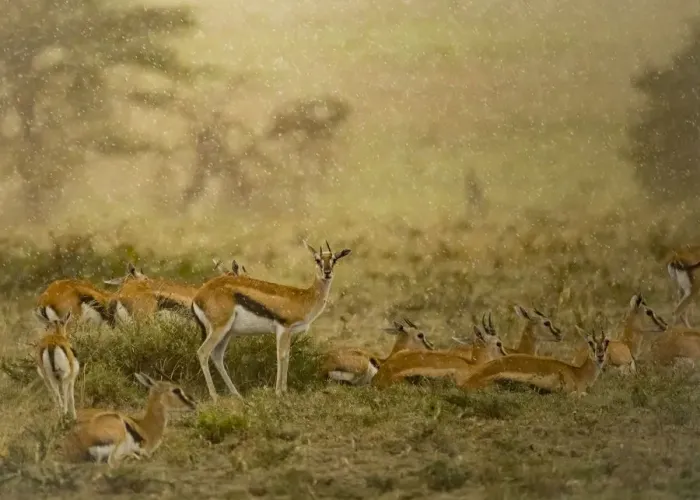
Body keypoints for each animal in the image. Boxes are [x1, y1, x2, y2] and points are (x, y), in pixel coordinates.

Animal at [192, 240, 352, 400]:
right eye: (317, 259)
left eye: (334, 259)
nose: (327, 273)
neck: (304, 297)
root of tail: (198, 296)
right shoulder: (283, 328)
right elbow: (281, 356)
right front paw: (278, 392)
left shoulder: (289, 332)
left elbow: (287, 356)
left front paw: (285, 391)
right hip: (219, 329)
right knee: (203, 352)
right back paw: (215, 397)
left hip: (227, 333)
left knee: (217, 356)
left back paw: (237, 395)